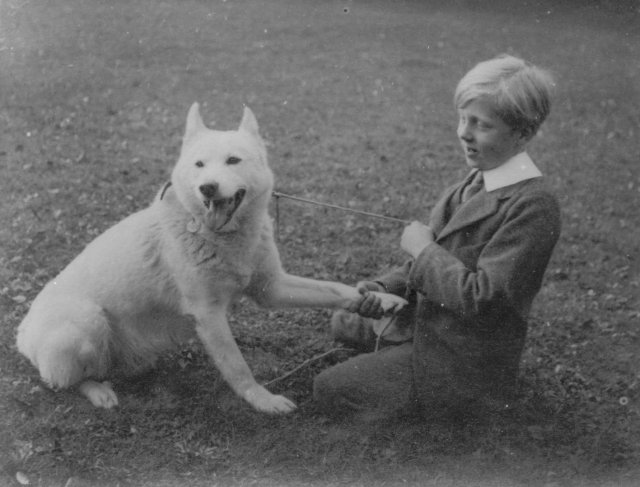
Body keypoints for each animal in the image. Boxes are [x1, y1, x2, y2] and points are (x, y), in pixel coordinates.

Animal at [17, 103, 404, 416]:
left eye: (233, 160)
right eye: (199, 165)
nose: (207, 188)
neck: (221, 236)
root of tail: (21, 333)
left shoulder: (272, 289)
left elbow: (336, 289)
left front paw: (381, 298)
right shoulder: (209, 314)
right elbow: (238, 367)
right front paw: (262, 401)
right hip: (88, 321)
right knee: (66, 381)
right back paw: (98, 391)